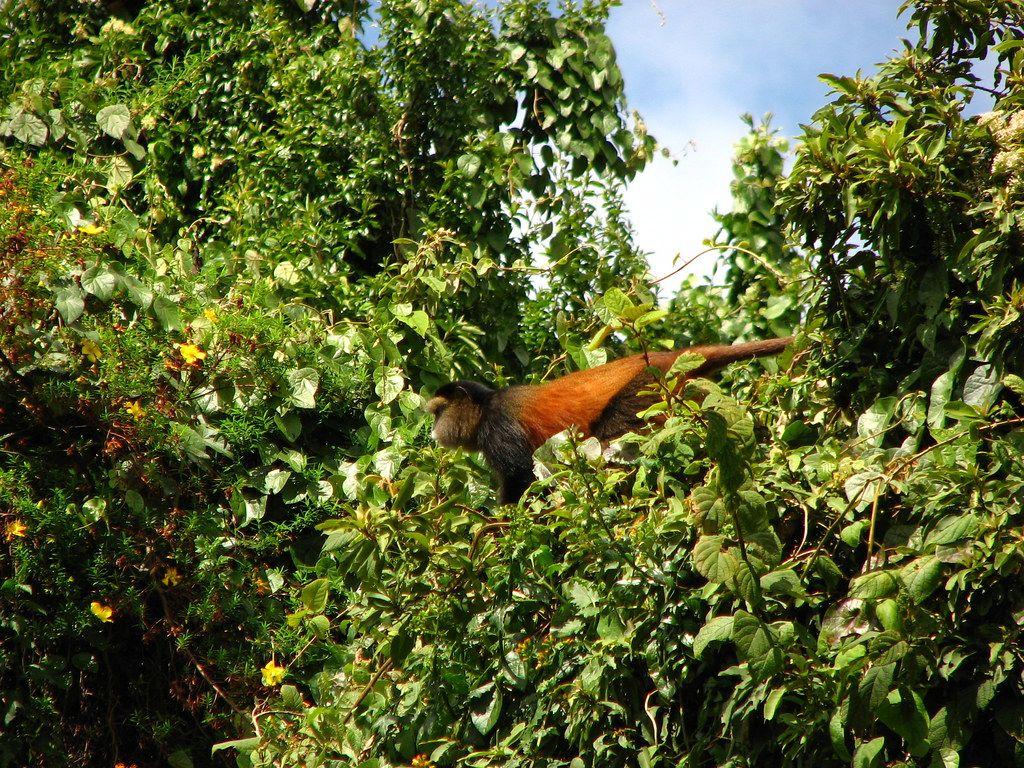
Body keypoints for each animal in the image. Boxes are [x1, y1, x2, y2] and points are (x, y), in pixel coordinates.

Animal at [425, 336, 793, 504]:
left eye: (439, 412)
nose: (434, 430)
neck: (486, 406)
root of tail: (665, 358)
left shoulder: (497, 427)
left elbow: (520, 478)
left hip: (647, 389)